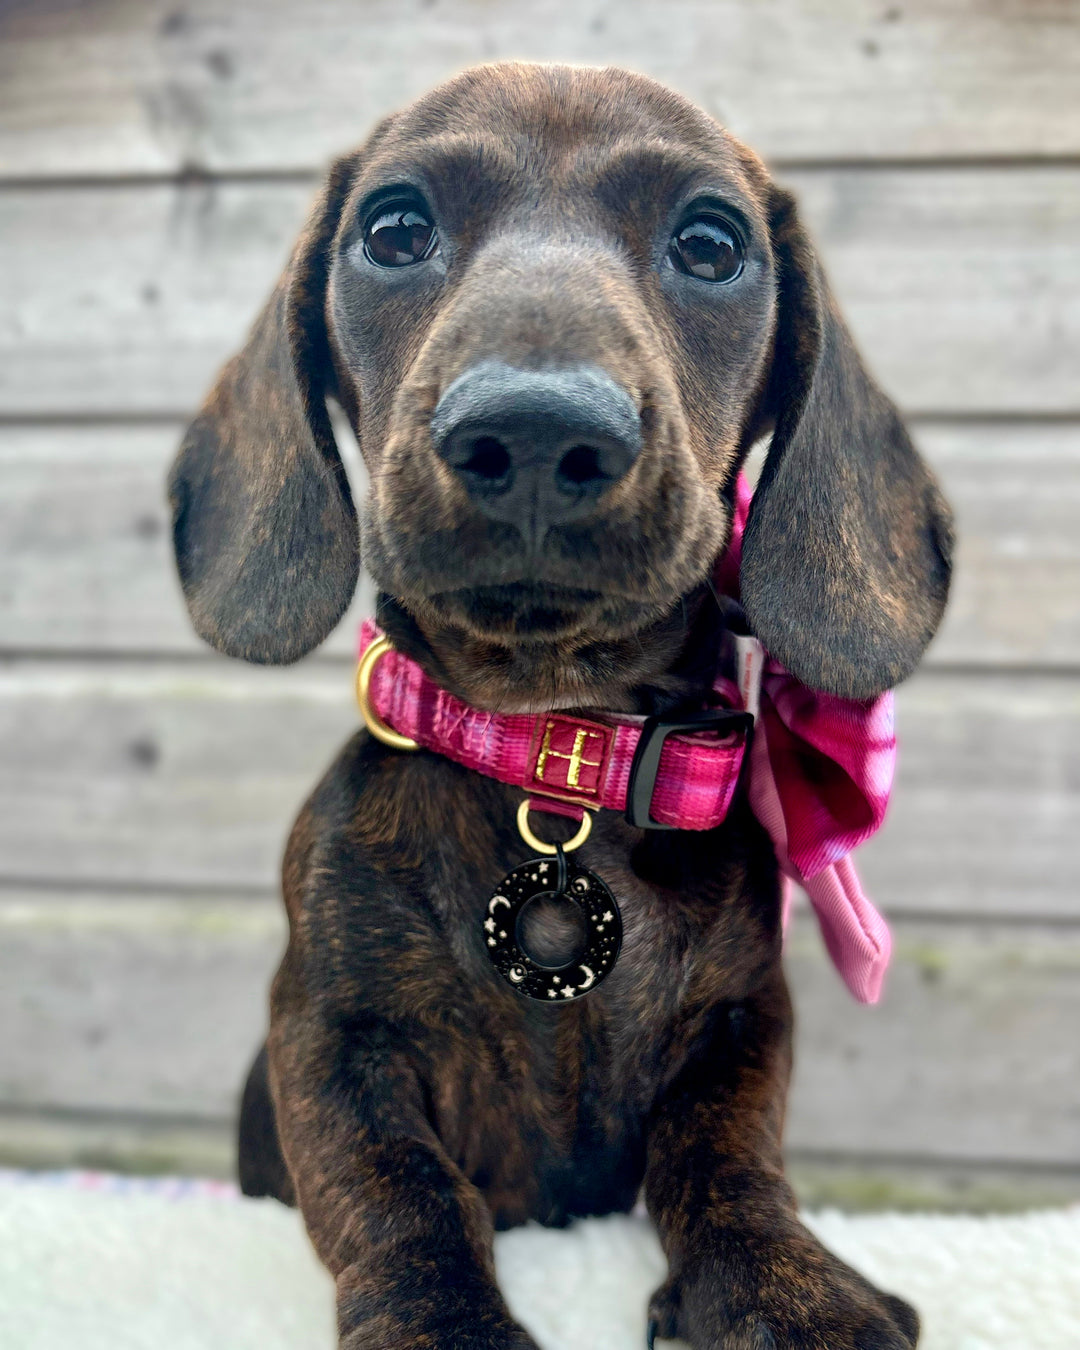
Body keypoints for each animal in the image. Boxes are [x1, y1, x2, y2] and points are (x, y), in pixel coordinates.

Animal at [164, 60, 950, 1350]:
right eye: (394, 229)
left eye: (710, 243)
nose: (536, 433)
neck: (550, 746)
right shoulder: (327, 1035)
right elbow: (395, 1185)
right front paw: (441, 1324)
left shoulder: (744, 1022)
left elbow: (727, 1157)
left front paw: (786, 1290)